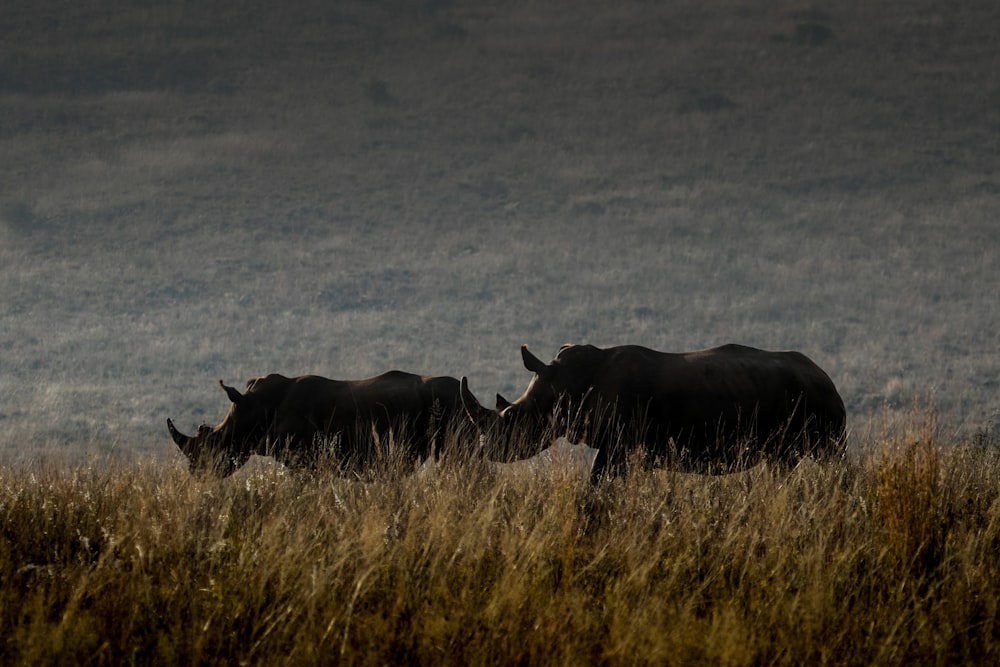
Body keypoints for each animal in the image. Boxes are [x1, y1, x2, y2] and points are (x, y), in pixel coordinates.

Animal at [460, 344, 844, 480]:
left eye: (511, 417)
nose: (486, 451)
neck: (563, 383)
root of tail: (826, 375)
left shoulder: (619, 444)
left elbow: (599, 480)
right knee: (783, 464)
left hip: (821, 403)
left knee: (830, 458)